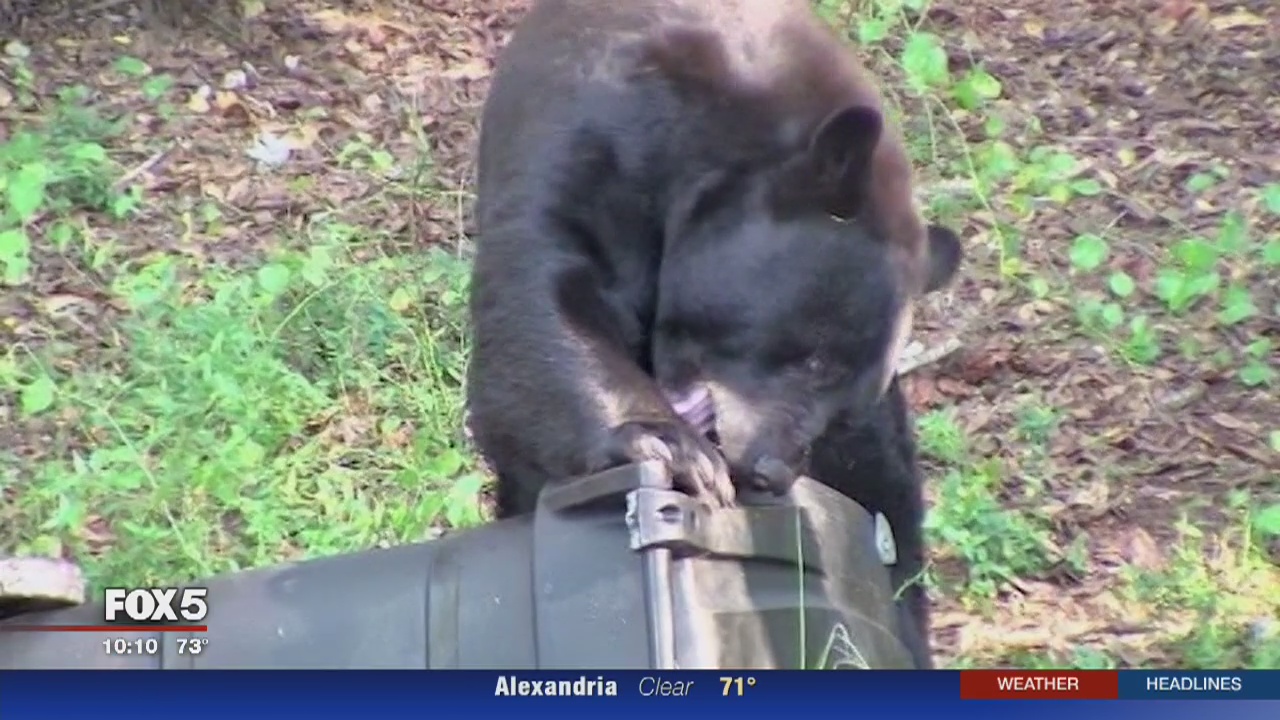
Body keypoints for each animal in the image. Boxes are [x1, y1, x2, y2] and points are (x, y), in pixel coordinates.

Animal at [465, 0, 962, 667]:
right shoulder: (583, 137)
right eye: (815, 360)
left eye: (842, 408)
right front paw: (670, 448)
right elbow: (544, 291)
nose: (773, 470)